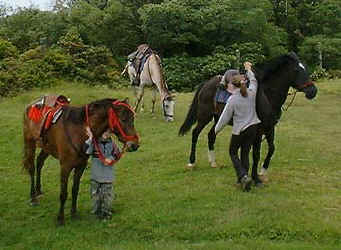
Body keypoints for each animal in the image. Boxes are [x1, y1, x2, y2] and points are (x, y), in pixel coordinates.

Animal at [22, 96, 138, 226]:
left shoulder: (81, 166)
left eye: (133, 118)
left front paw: (74, 213)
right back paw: (33, 197)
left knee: (39, 162)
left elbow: (75, 190)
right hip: (29, 142)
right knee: (31, 167)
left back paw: (38, 190)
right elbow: (63, 193)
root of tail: (31, 104)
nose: (135, 145)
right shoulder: (65, 167)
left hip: (47, 148)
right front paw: (60, 218)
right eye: (123, 119)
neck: (79, 131)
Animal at [179, 51, 318, 185]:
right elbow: (256, 154)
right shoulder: (259, 131)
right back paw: (191, 162)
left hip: (219, 119)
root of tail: (206, 84)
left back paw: (213, 162)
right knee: (195, 133)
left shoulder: (270, 127)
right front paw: (256, 178)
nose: (313, 91)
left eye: (305, 68)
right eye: (296, 70)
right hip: (204, 116)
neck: (267, 95)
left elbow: (271, 148)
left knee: (211, 135)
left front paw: (263, 171)